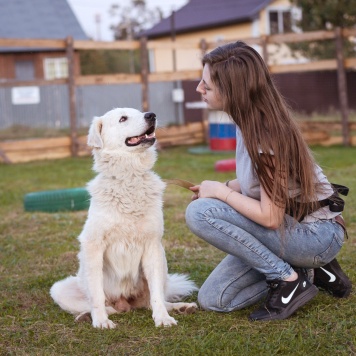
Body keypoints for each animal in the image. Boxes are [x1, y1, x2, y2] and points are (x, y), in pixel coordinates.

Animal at [50, 108, 197, 328]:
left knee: (154, 300)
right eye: (123, 118)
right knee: (101, 304)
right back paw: (88, 315)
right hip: (60, 288)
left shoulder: (152, 245)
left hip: (162, 262)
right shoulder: (93, 246)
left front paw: (162, 318)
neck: (129, 178)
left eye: (141, 112)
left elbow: (156, 295)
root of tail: (125, 303)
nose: (151, 115)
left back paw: (182, 308)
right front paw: (101, 321)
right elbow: (96, 294)